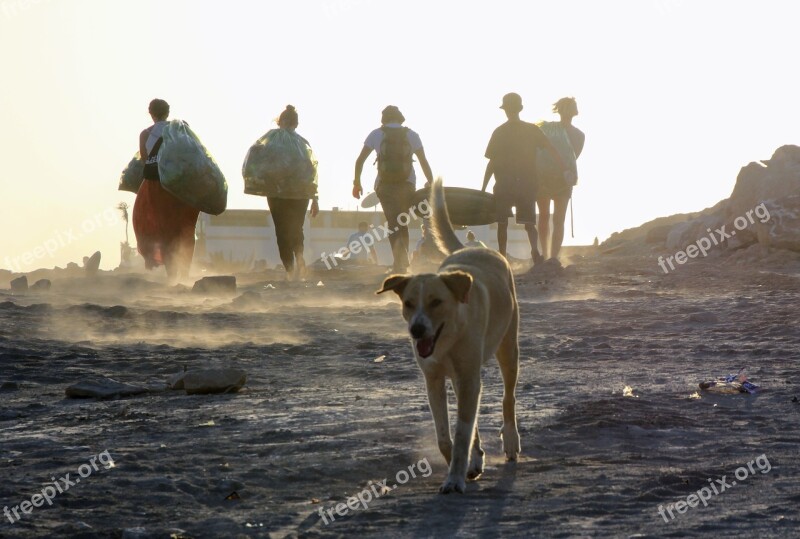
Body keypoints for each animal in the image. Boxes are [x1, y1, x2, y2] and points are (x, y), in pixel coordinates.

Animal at [378, 179, 520, 496]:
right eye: (408, 303)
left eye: (436, 302)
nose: (416, 330)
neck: (449, 338)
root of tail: (473, 249)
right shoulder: (434, 380)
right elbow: (445, 436)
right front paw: (465, 466)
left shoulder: (468, 377)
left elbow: (462, 433)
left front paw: (455, 478)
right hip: (460, 377)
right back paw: (477, 459)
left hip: (508, 348)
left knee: (509, 397)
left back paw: (511, 442)